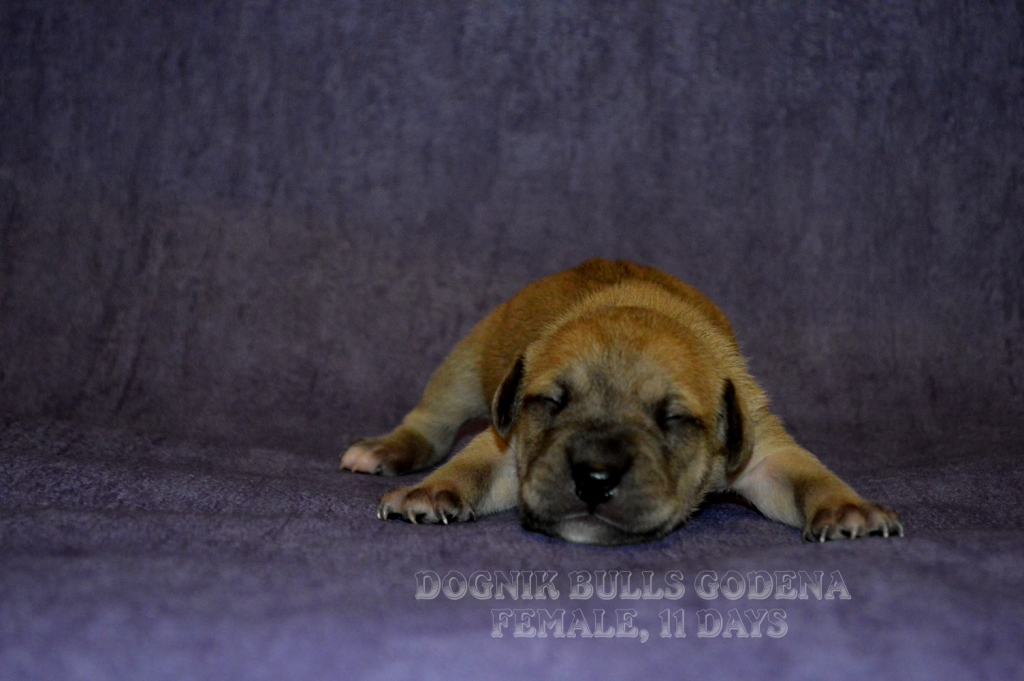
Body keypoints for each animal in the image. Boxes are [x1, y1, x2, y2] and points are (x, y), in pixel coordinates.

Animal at [341, 259, 902, 545]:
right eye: (552, 403)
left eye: (672, 418)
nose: (594, 477)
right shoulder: (512, 444)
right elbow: (472, 464)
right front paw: (434, 491)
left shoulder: (762, 452)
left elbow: (808, 476)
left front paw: (844, 506)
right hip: (465, 363)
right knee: (431, 422)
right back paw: (385, 449)